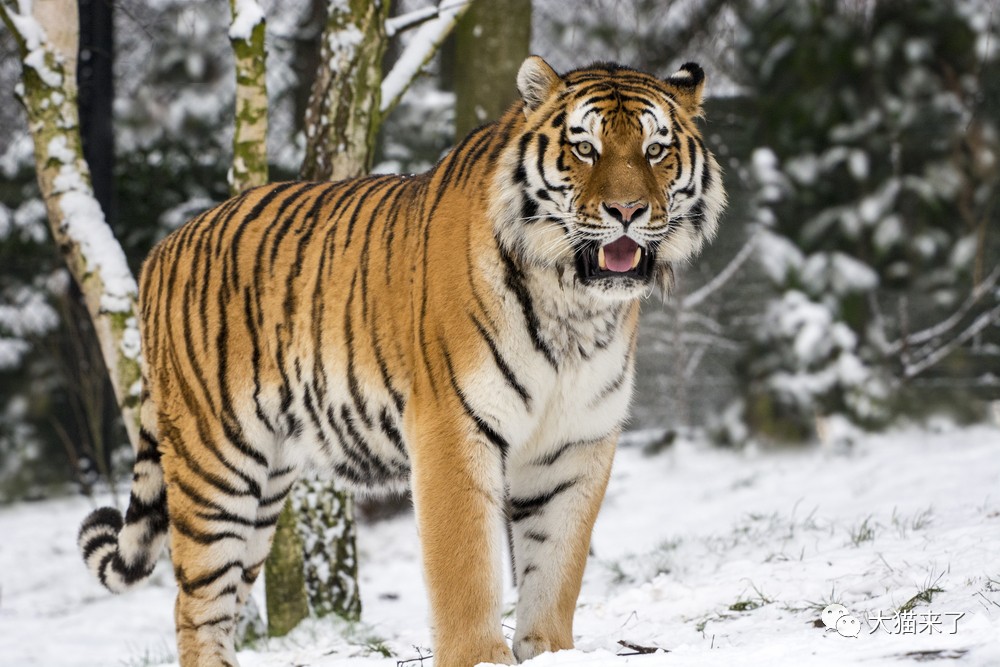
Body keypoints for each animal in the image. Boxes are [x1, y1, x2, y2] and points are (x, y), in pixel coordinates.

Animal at [76, 56, 725, 667]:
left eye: (656, 149)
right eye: (584, 148)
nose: (626, 211)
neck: (575, 306)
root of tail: (162, 247)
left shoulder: (576, 441)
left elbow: (556, 568)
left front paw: (551, 652)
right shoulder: (453, 428)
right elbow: (466, 567)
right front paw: (479, 658)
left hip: (266, 486)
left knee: (227, 596)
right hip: (217, 463)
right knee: (195, 606)